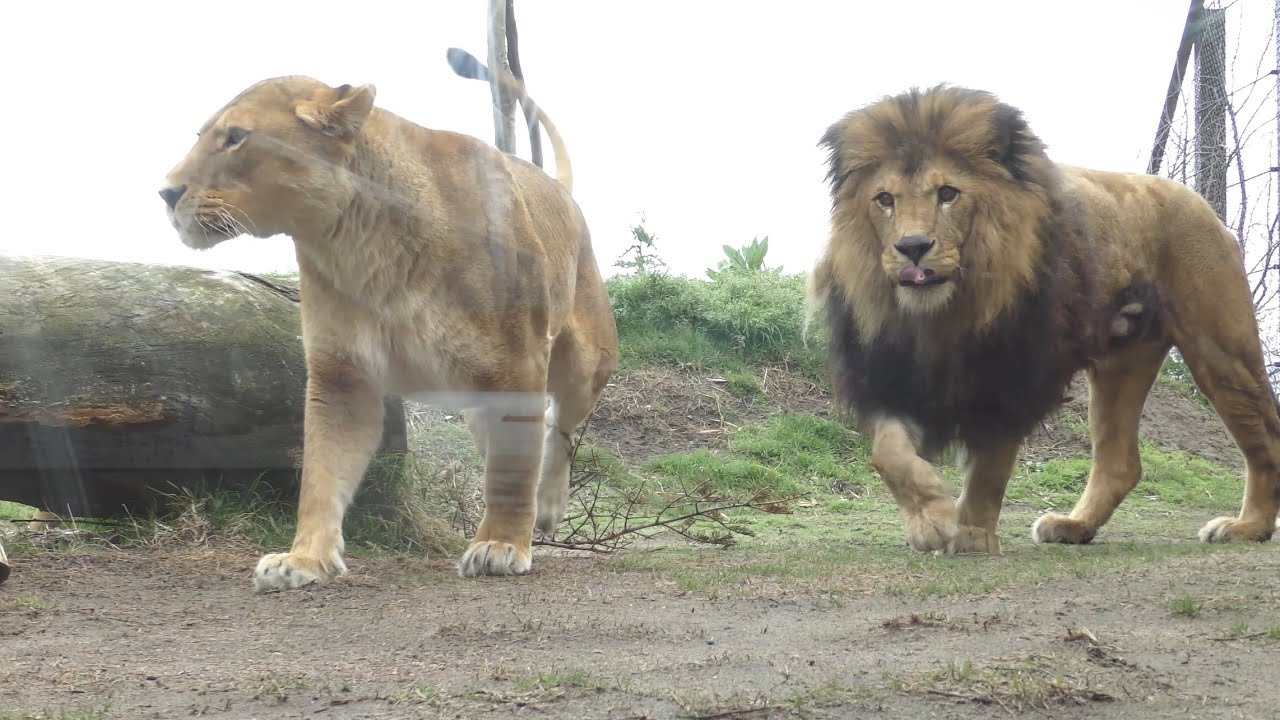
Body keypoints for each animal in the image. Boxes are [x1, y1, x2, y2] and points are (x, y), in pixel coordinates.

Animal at [158, 57, 618, 592]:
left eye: (235, 137)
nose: (166, 192)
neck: (356, 238)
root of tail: (556, 188)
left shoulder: (517, 361)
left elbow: (513, 467)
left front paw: (500, 546)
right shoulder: (342, 374)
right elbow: (322, 473)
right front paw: (304, 558)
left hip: (584, 363)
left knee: (558, 426)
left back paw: (546, 508)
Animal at [810, 84, 1280, 555]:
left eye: (947, 194)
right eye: (885, 200)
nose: (912, 247)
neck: (940, 314)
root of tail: (1202, 204)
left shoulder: (1010, 375)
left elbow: (990, 465)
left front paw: (973, 533)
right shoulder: (885, 373)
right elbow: (888, 452)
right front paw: (931, 518)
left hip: (1221, 349)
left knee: (1265, 439)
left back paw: (1247, 527)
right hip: (1121, 364)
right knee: (1121, 463)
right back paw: (1074, 525)